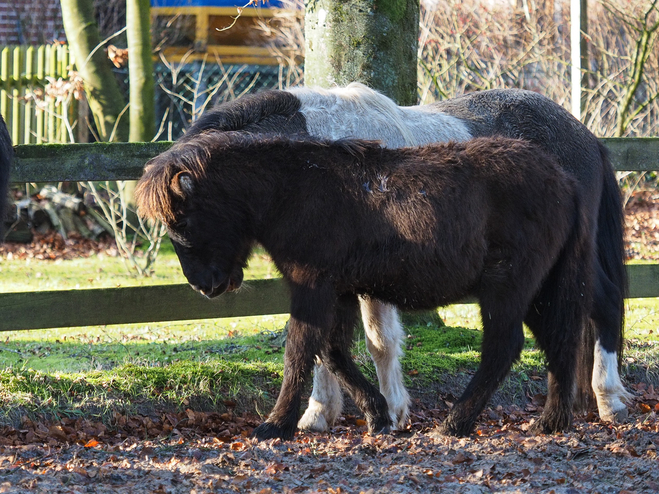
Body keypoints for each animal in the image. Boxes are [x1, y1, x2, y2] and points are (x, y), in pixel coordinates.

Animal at [180, 83, 628, 430]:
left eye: (187, 219)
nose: (206, 285)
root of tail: (585, 137)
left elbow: (377, 342)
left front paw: (387, 411)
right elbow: (328, 346)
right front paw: (323, 413)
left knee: (602, 307)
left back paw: (609, 398)